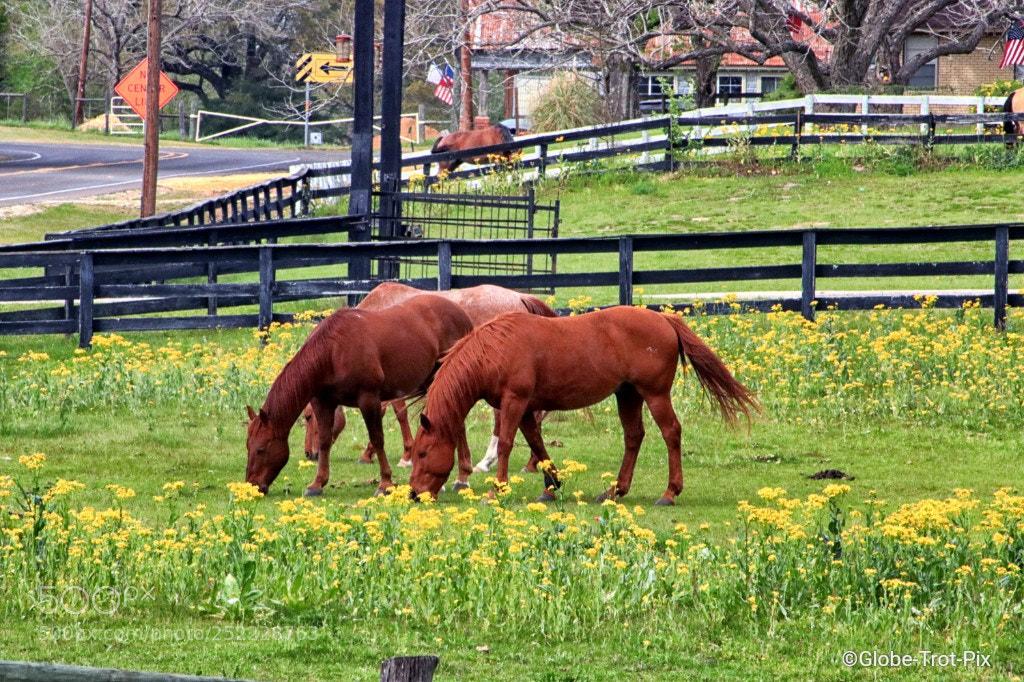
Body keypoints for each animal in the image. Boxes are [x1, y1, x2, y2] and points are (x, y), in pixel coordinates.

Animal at [245, 294, 474, 497]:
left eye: (261, 449)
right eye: (248, 446)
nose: (252, 485)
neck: (333, 350)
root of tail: (461, 312)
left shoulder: (369, 399)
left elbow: (377, 438)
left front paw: (385, 483)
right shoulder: (323, 402)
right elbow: (325, 441)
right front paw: (317, 484)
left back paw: (462, 478)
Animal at [301, 282, 557, 471]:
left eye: (308, 416)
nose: (309, 453)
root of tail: (519, 297)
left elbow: (396, 413)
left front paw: (398, 455)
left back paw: (488, 461)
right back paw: (533, 462)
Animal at [408, 306, 760, 506]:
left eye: (422, 454)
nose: (413, 494)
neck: (495, 349)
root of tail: (662, 318)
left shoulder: (514, 401)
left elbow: (507, 444)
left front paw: (497, 491)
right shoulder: (525, 407)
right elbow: (537, 444)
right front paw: (551, 487)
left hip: (655, 394)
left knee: (671, 433)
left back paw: (669, 493)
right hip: (628, 395)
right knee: (633, 436)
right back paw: (615, 490)